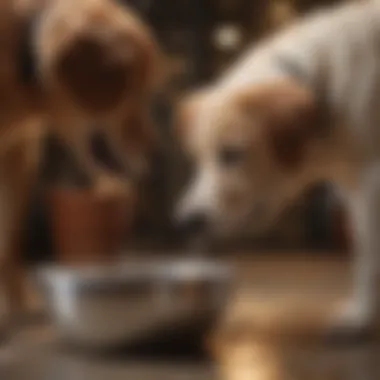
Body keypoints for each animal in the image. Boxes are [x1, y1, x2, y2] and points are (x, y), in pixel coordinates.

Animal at [176, 1, 380, 336]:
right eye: (196, 158)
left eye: (232, 154)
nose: (187, 223)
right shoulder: (355, 188)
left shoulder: (370, 185)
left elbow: (368, 258)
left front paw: (359, 317)